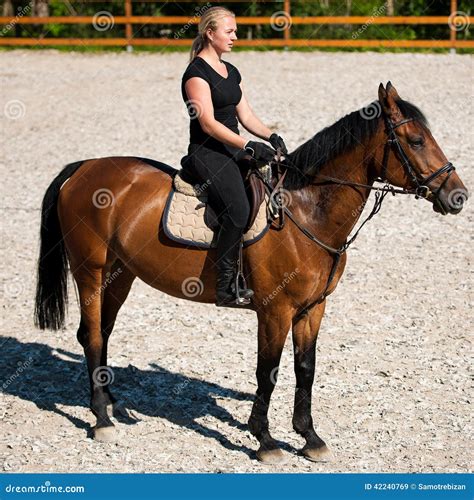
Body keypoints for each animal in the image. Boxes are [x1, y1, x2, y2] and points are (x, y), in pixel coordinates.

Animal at [32, 80, 466, 462]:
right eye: (415, 141)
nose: (458, 196)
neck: (305, 213)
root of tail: (83, 168)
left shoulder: (312, 308)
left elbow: (305, 369)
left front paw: (309, 437)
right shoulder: (275, 311)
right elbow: (267, 371)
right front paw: (265, 440)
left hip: (120, 273)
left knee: (102, 332)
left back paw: (109, 400)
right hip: (90, 270)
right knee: (90, 334)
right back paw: (101, 418)